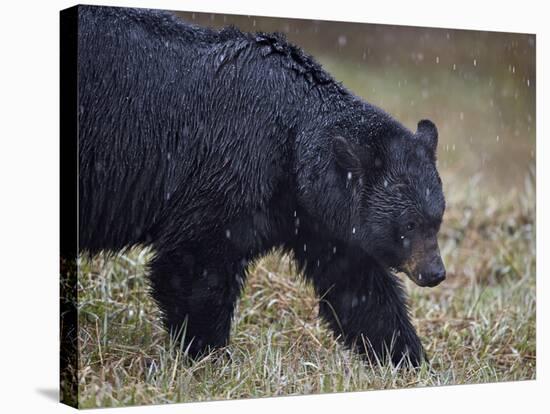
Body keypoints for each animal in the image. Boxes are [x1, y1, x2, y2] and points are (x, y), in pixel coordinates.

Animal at [77, 5, 448, 366]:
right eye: (408, 224)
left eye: (436, 220)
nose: (435, 272)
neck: (293, 142)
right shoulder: (234, 164)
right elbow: (196, 260)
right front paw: (210, 355)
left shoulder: (317, 216)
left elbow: (358, 285)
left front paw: (410, 359)